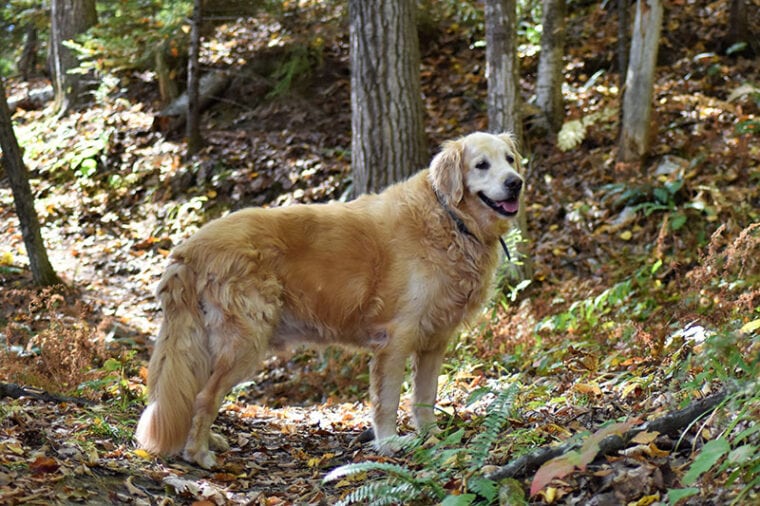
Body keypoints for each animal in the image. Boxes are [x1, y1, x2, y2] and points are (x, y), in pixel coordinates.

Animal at [135, 132, 524, 468]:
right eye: (481, 165)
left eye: (509, 159)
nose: (515, 182)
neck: (452, 219)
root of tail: (189, 248)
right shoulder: (396, 339)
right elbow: (388, 401)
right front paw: (389, 444)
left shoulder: (433, 342)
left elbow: (424, 398)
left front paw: (432, 437)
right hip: (244, 341)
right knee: (204, 397)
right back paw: (198, 454)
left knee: (194, 394)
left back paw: (204, 442)